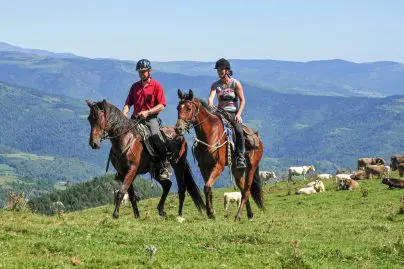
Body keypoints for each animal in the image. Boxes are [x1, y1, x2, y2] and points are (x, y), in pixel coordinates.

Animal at [174, 89, 266, 219]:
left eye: (188, 108)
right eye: (178, 108)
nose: (178, 129)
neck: (210, 134)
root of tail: (257, 139)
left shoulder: (218, 166)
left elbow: (207, 187)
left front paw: (210, 212)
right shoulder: (204, 168)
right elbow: (208, 188)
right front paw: (211, 212)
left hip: (251, 167)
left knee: (247, 191)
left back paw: (238, 215)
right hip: (237, 170)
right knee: (243, 189)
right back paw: (249, 214)